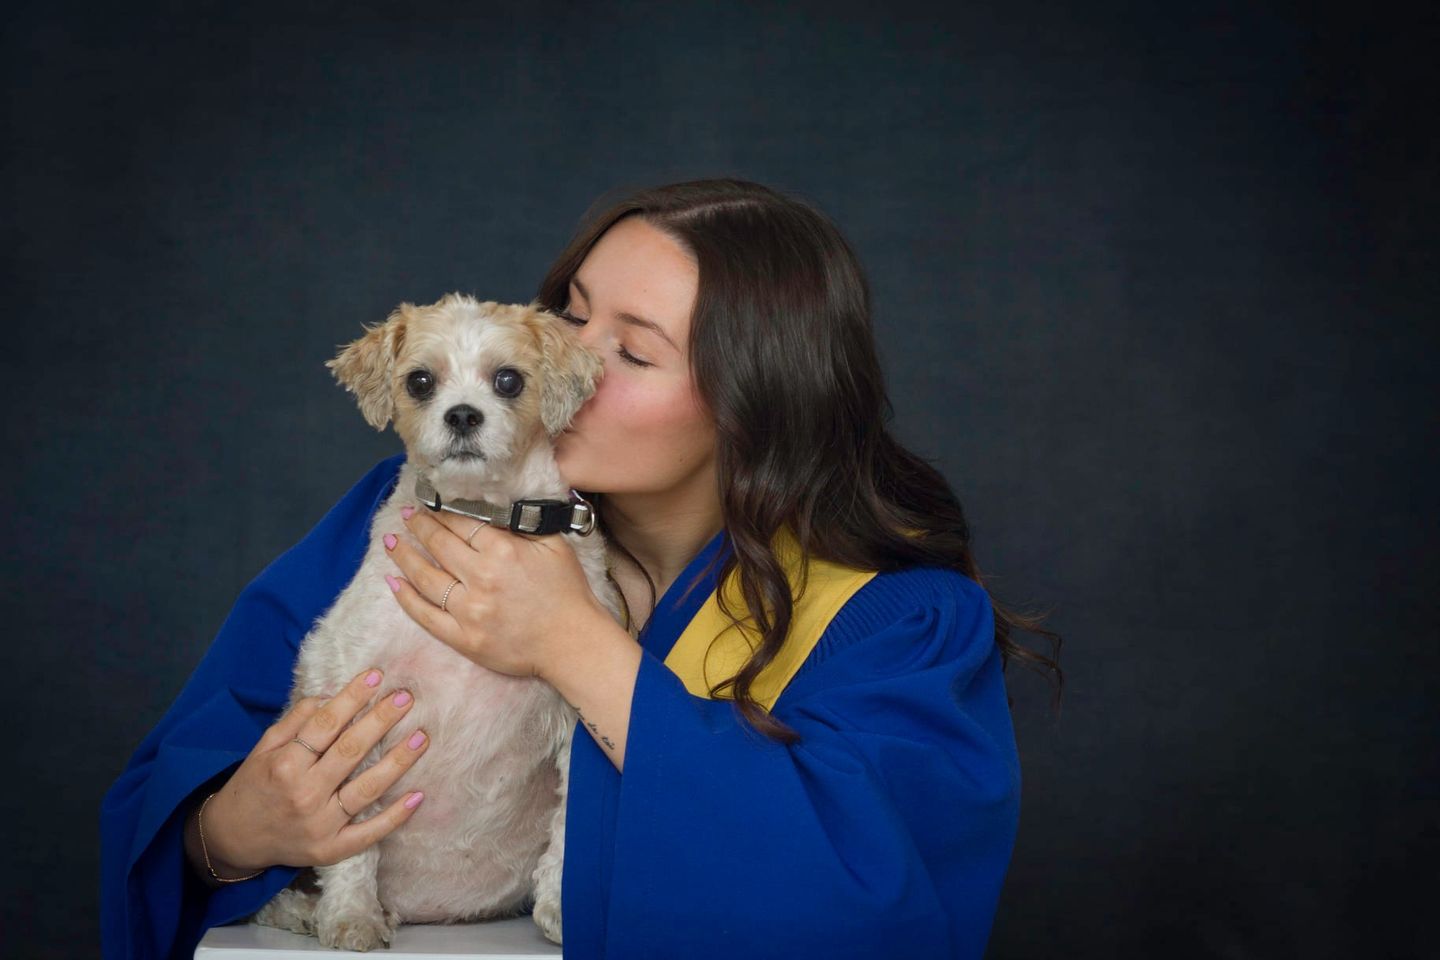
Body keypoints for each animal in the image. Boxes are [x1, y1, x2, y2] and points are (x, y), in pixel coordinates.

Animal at [252, 295, 619, 955]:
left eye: (509, 380)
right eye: (420, 381)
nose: (464, 415)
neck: (479, 520)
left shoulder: (580, 725)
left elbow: (570, 825)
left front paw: (561, 910)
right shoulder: (350, 692)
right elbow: (353, 832)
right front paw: (352, 917)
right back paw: (309, 912)